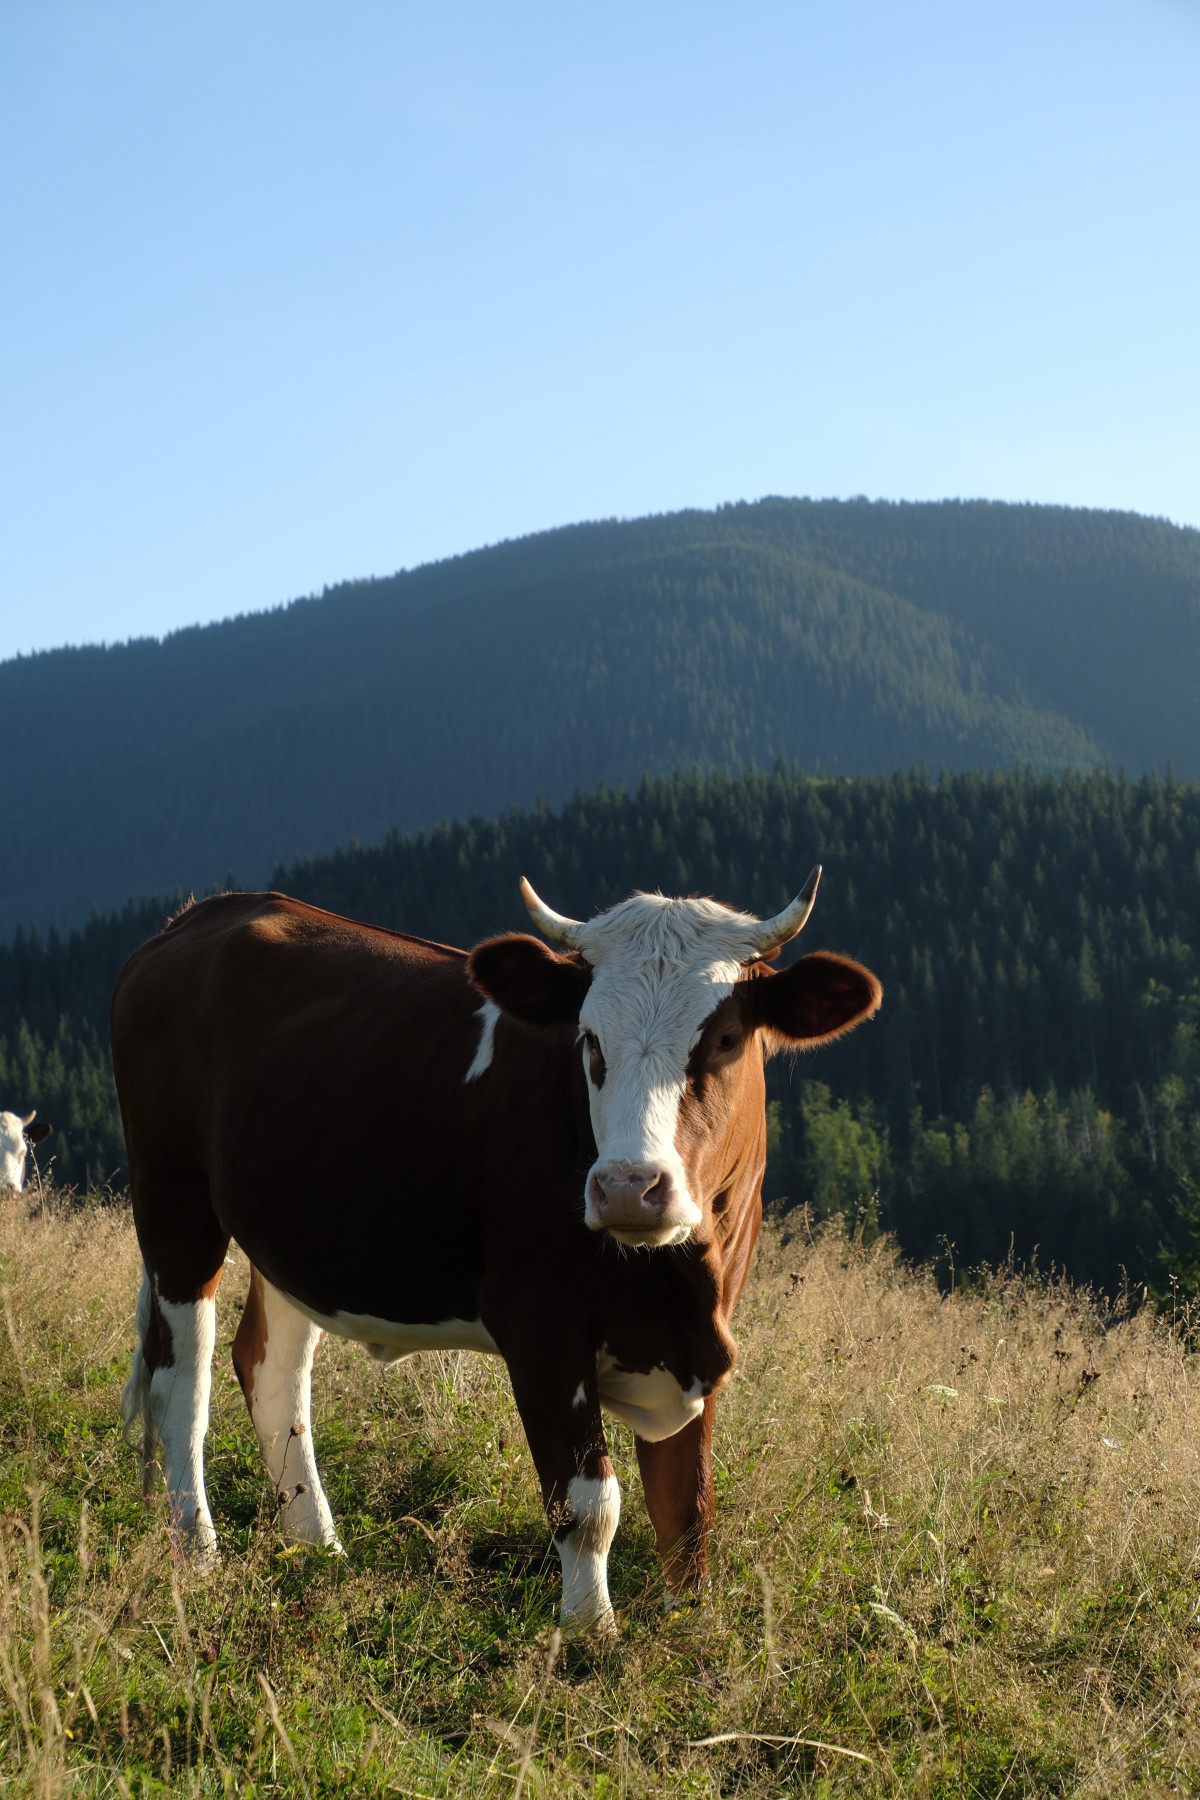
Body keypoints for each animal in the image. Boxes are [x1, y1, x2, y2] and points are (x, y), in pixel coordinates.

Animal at [115, 871, 881, 1634]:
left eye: (723, 1039)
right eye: (590, 1040)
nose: (628, 1187)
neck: (676, 1281)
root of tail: (209, 913)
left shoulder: (701, 1342)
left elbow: (687, 1512)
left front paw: (688, 1634)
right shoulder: (540, 1325)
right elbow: (587, 1505)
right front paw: (590, 1636)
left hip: (294, 1232)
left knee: (272, 1369)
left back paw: (317, 1548)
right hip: (173, 1195)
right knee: (181, 1377)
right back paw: (198, 1552)